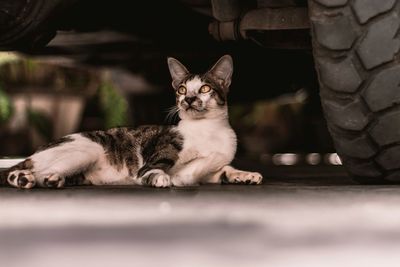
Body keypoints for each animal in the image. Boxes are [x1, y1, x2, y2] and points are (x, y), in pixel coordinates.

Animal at [4, 55, 262, 188]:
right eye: (181, 89)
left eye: (205, 88)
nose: (188, 99)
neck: (208, 130)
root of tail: (37, 151)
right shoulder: (154, 160)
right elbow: (156, 169)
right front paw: (161, 178)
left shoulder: (212, 167)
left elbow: (223, 168)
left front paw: (245, 174)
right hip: (85, 150)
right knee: (26, 172)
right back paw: (28, 178)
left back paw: (40, 179)